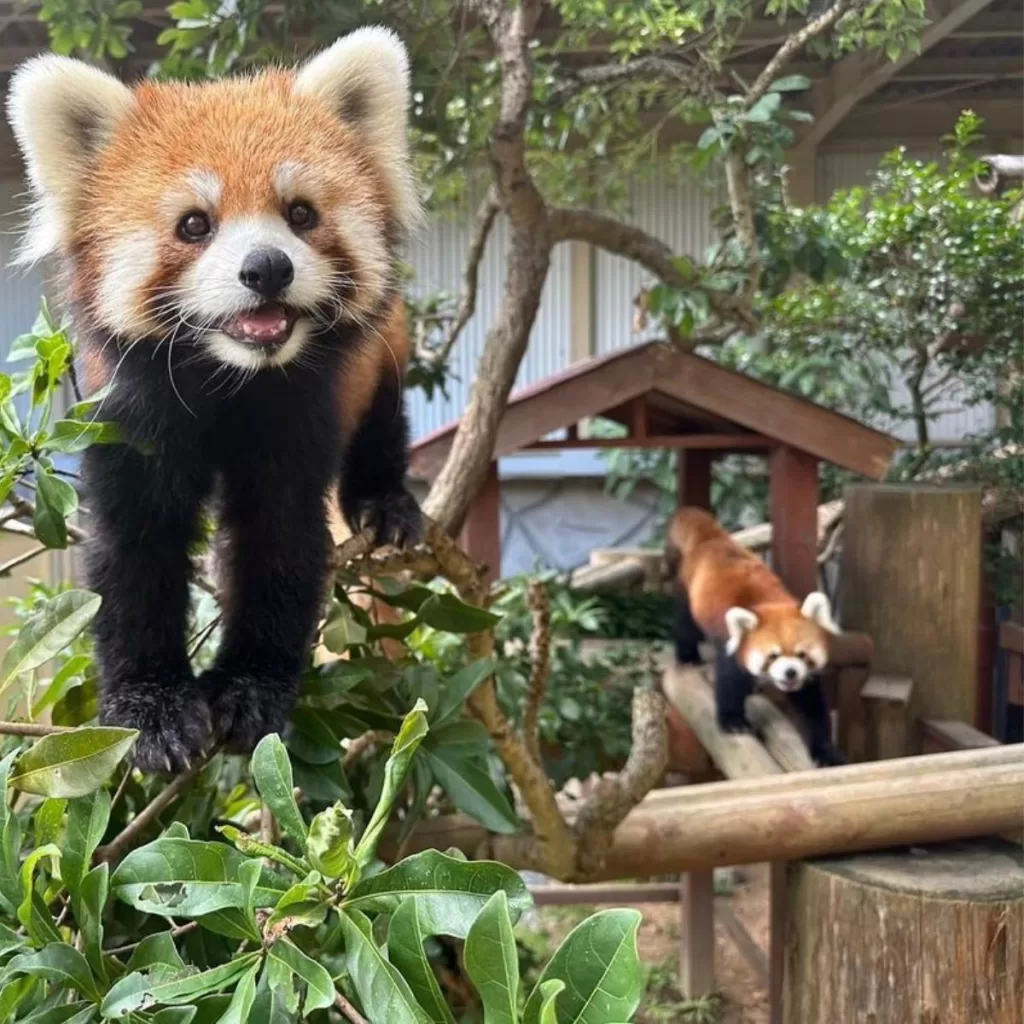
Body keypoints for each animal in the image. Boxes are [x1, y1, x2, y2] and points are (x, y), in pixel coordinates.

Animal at [4, 28, 423, 770]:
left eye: (301, 214)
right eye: (195, 224)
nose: (267, 268)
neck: (232, 377)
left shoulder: (299, 414)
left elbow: (277, 538)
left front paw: (251, 688)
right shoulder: (132, 413)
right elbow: (136, 547)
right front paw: (150, 706)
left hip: (384, 351)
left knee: (382, 421)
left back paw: (385, 502)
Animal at [667, 507, 843, 765]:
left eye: (802, 655)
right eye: (772, 656)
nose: (790, 672)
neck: (770, 604)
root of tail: (712, 540)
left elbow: (811, 703)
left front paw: (825, 750)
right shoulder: (731, 645)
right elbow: (729, 682)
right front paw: (734, 722)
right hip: (687, 592)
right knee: (685, 625)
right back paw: (687, 656)